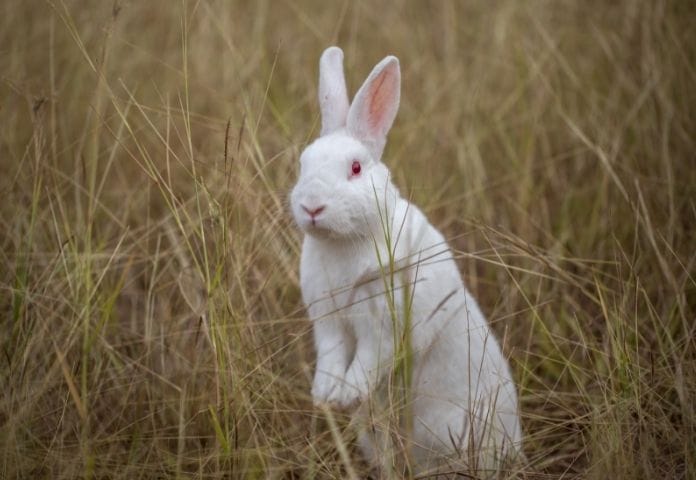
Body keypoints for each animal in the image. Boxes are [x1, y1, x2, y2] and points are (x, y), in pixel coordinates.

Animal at [288, 47, 520, 474]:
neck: (344, 242)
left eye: (356, 167)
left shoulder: (382, 324)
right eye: (302, 164)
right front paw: (325, 395)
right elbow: (331, 355)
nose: (312, 206)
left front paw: (346, 395)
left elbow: (367, 361)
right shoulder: (328, 320)